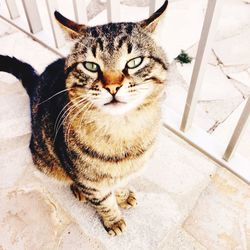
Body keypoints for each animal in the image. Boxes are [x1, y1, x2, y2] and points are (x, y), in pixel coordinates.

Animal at [0, 0, 169, 235]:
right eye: (91, 66)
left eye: (134, 62)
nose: (113, 87)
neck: (122, 133)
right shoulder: (89, 181)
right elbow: (104, 201)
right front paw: (113, 220)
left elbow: (118, 184)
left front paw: (123, 195)